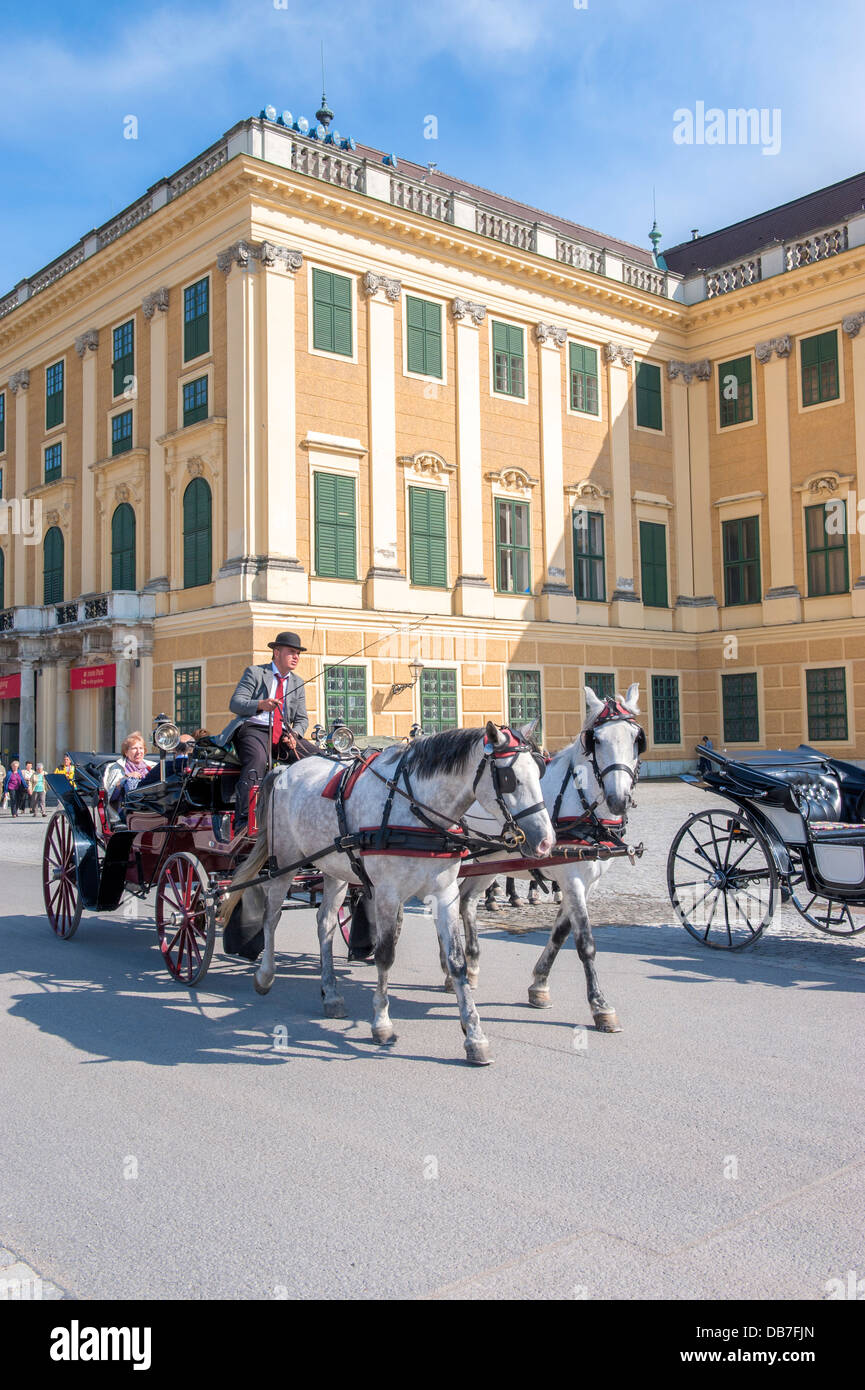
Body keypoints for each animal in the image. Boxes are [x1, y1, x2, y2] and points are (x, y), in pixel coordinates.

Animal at [219, 728, 559, 1061]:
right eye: (509, 778)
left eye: (539, 771)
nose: (546, 841)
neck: (416, 808)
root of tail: (284, 770)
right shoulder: (386, 893)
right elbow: (385, 955)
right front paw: (381, 1024)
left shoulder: (444, 893)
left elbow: (456, 961)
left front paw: (475, 1036)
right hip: (285, 862)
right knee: (272, 915)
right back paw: (265, 975)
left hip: (335, 869)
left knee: (325, 923)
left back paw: (331, 994)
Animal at [447, 683, 645, 1034]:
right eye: (596, 740)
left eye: (636, 738)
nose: (618, 799)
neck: (581, 802)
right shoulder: (572, 877)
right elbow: (585, 941)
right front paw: (600, 1005)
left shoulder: (586, 882)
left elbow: (560, 932)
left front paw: (539, 985)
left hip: (488, 860)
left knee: (466, 901)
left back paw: (470, 966)